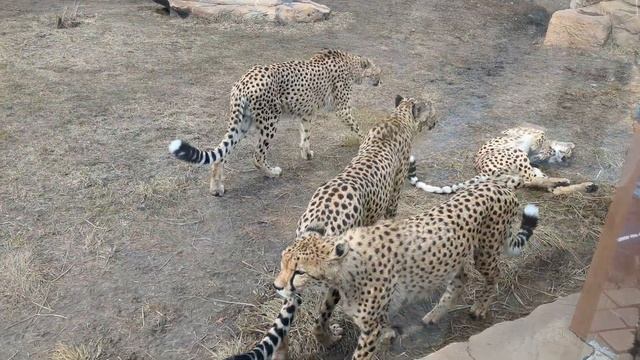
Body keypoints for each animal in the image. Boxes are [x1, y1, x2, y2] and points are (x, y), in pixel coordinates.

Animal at [168, 49, 382, 195]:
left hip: (243, 123)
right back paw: (271, 172)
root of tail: (242, 81)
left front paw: (306, 153)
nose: (380, 82)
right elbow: (358, 128)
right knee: (257, 155)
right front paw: (366, 141)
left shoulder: (307, 112)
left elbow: (306, 135)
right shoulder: (342, 109)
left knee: (221, 154)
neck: (351, 65)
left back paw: (216, 188)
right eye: (376, 74)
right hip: (269, 121)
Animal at [272, 178, 536, 360]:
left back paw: (480, 307)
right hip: (456, 256)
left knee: (493, 275)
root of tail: (500, 185)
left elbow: (361, 352)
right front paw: (388, 334)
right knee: (461, 278)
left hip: (485, 252)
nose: (277, 286)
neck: (343, 270)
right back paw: (435, 314)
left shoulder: (370, 327)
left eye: (299, 272)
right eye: (283, 261)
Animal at [408, 125, 596, 195]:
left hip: (514, 178)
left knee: (542, 184)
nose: (564, 159)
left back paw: (581, 185)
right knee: (533, 179)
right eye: (568, 152)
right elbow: (539, 135)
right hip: (515, 154)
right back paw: (562, 181)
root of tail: (481, 170)